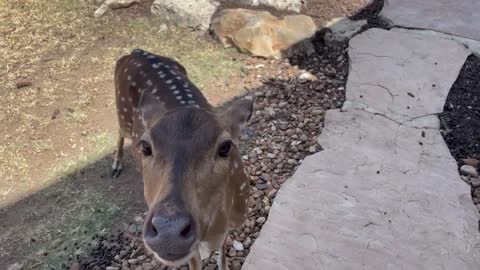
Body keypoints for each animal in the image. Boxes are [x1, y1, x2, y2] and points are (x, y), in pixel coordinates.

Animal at [113, 49, 255, 270]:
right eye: (145, 146)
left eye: (225, 146)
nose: (168, 231)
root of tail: (135, 51)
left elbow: (223, 253)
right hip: (122, 113)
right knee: (119, 130)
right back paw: (116, 164)